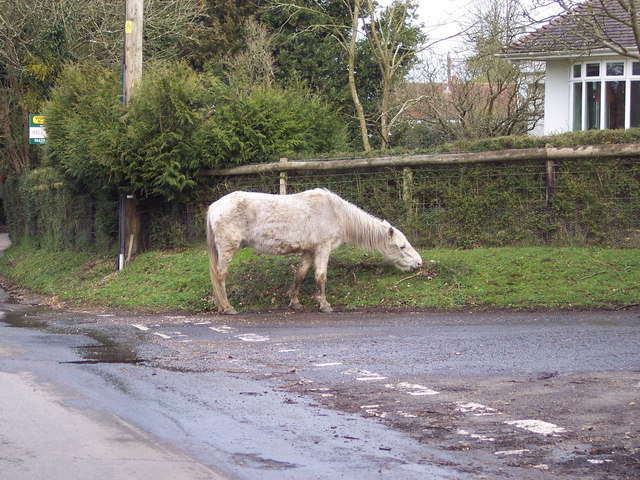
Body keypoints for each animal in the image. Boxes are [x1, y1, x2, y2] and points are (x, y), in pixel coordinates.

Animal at [208, 188, 422, 316]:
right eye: (402, 247)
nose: (419, 263)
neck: (336, 212)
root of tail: (214, 206)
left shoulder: (309, 251)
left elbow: (300, 274)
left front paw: (294, 302)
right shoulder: (322, 248)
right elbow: (321, 276)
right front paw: (324, 304)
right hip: (228, 248)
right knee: (220, 276)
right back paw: (227, 307)